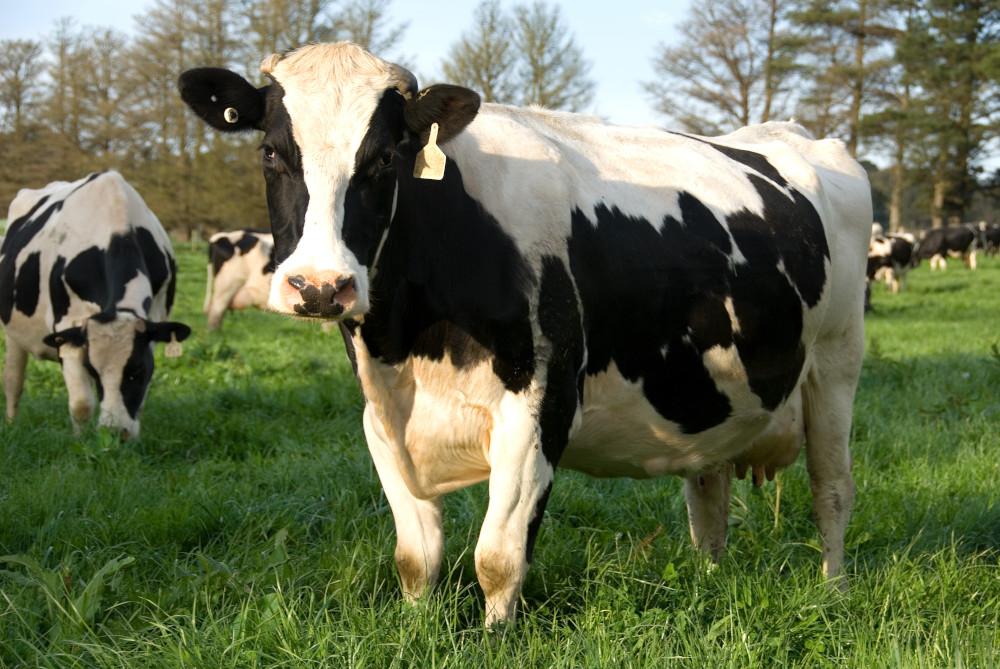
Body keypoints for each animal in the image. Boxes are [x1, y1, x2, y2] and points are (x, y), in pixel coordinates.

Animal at [1, 171, 191, 439]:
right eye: (93, 370)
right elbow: (81, 404)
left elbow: (140, 402)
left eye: (138, 370)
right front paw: (81, 443)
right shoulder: (68, 328)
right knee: (13, 379)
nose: (115, 432)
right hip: (12, 331)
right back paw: (11, 425)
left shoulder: (154, 321)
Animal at [179, 42, 871, 626]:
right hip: (710, 391)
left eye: (384, 159)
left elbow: (498, 556)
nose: (322, 287)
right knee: (709, 499)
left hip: (837, 362)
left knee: (832, 488)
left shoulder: (541, 404)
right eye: (272, 152)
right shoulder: (382, 415)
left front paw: (493, 638)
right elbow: (415, 558)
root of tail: (794, 136)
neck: (410, 338)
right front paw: (416, 631)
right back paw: (710, 582)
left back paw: (835, 594)